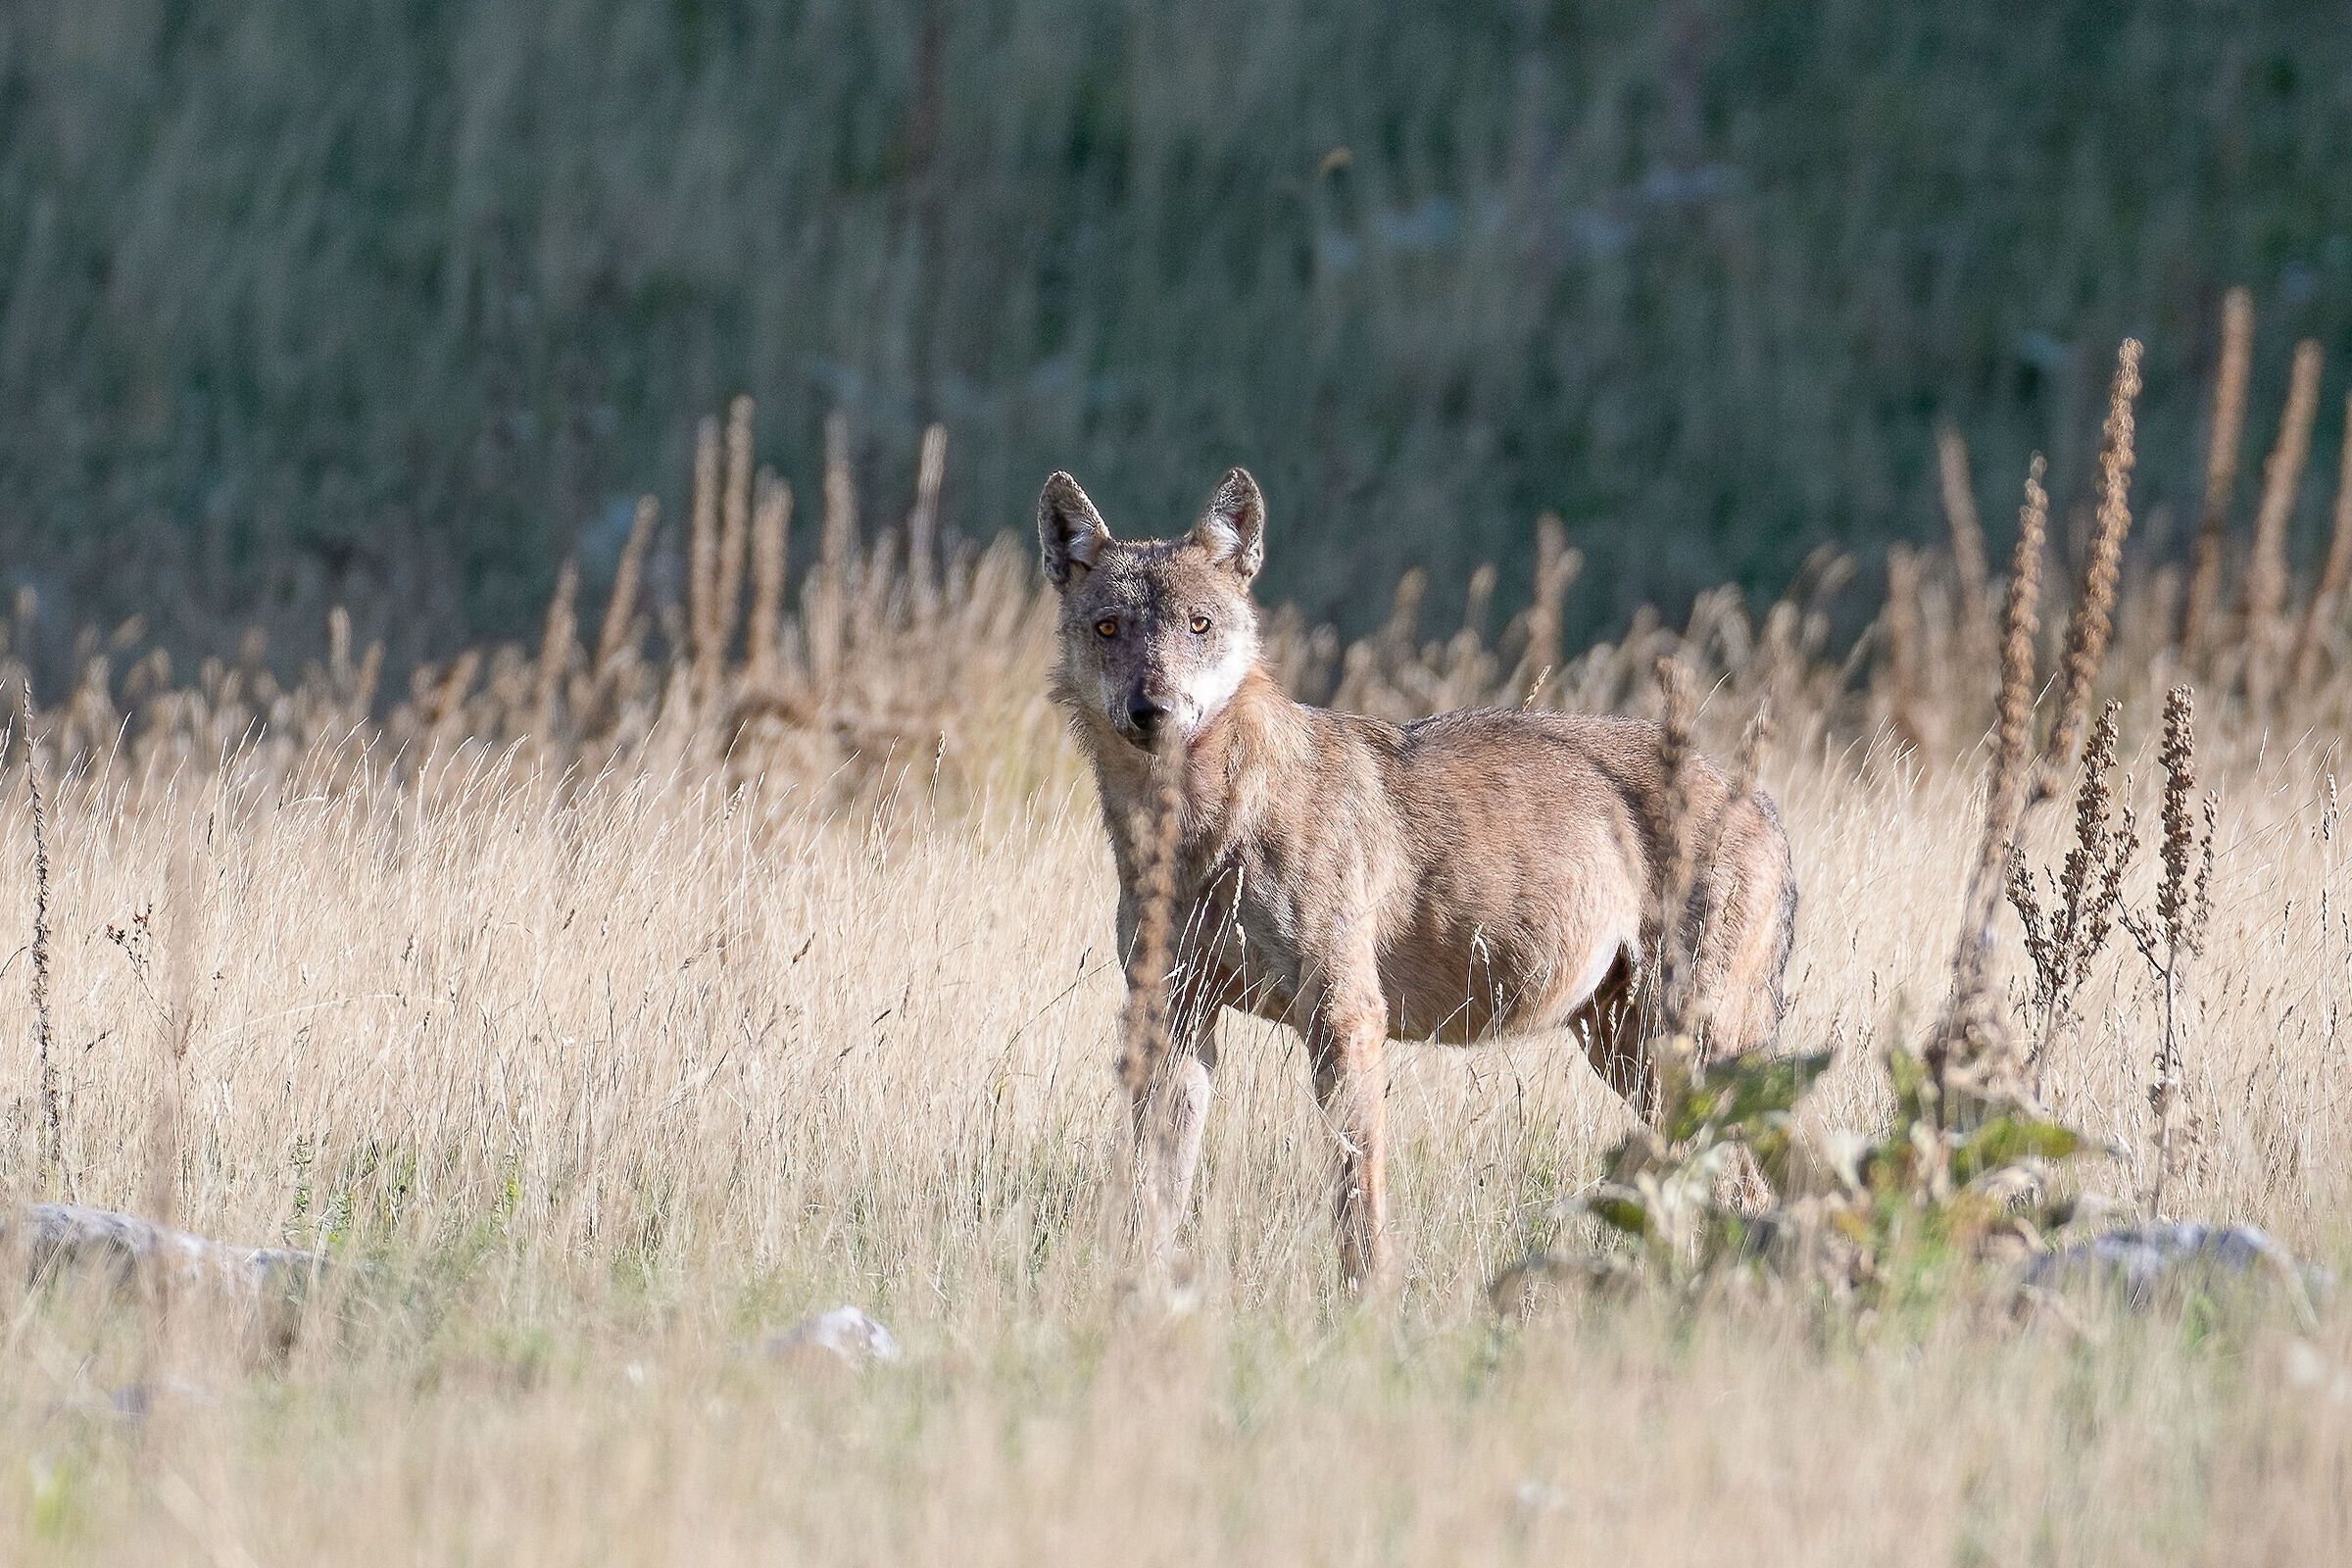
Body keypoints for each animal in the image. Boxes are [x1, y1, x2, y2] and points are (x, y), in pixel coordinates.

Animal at [1040, 467, 1797, 1288]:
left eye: (1199, 625)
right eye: (1109, 629)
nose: (1151, 709)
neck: (1192, 830)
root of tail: (1756, 797)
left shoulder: (1346, 1017)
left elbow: (1356, 1199)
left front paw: (1366, 1306)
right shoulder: (1174, 1020)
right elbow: (1157, 1194)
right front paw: (1136, 1292)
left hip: (1689, 1043)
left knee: (1757, 1185)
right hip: (1628, 1053)